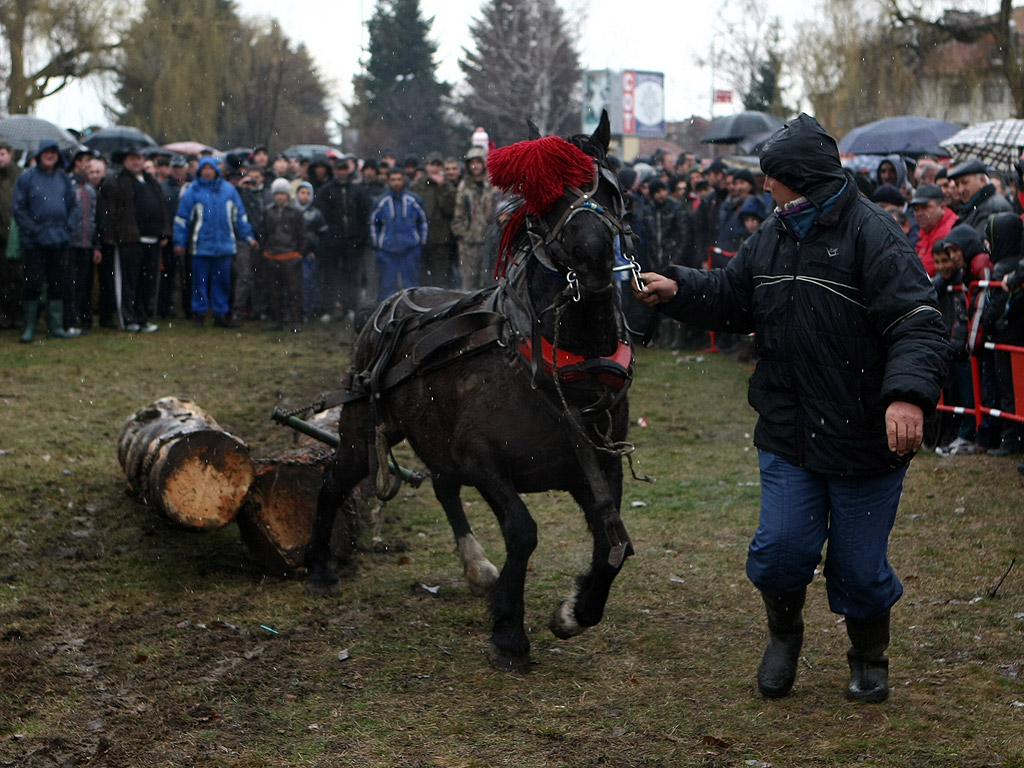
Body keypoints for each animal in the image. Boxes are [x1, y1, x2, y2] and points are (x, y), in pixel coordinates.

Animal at [303, 114, 638, 671]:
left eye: (609, 189)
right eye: (547, 198)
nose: (591, 258)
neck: (552, 363)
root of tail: (388, 303)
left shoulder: (597, 462)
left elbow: (614, 543)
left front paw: (575, 611)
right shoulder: (483, 458)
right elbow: (523, 531)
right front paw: (509, 632)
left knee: (441, 485)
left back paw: (476, 565)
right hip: (361, 428)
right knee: (335, 481)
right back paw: (320, 567)